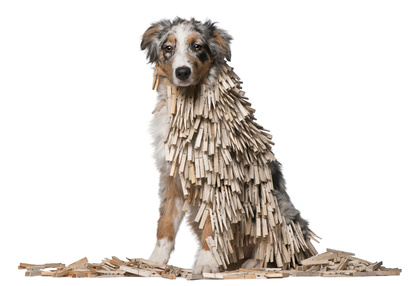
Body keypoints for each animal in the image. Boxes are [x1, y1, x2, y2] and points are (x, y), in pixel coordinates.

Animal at [141, 16, 308, 274]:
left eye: (197, 46)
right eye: (168, 48)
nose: (182, 72)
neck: (188, 104)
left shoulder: (220, 180)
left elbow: (213, 229)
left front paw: (205, 265)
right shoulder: (172, 177)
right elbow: (165, 224)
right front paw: (154, 262)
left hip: (277, 209)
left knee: (278, 251)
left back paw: (254, 264)